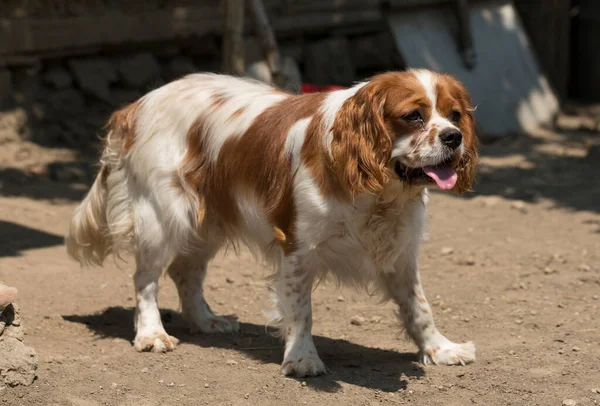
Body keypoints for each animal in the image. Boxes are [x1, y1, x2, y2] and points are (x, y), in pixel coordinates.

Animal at [65, 69, 478, 378]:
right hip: (164, 217)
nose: (453, 137)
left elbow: (419, 307)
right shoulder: (297, 247)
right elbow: (300, 310)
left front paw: (440, 348)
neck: (377, 192)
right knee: (146, 279)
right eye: (414, 116)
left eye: (455, 115)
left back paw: (206, 321)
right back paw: (152, 333)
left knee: (186, 272)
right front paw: (302, 358)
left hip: (206, 223)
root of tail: (138, 104)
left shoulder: (401, 252)